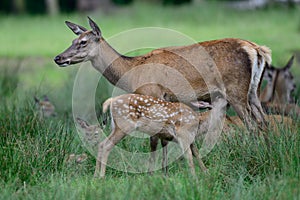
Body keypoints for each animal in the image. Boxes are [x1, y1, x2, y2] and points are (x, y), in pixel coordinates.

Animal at [94, 93, 227, 177]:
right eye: (218, 97)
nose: (227, 100)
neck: (199, 121)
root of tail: (111, 101)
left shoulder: (190, 138)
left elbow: (196, 153)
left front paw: (206, 173)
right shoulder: (183, 134)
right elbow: (189, 156)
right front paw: (194, 178)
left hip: (115, 127)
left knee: (101, 144)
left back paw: (95, 176)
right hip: (124, 125)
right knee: (107, 146)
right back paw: (101, 176)